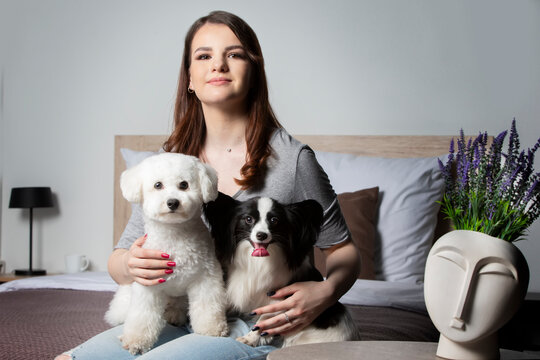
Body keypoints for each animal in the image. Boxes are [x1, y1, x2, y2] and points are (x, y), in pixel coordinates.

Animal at [105, 152, 228, 354]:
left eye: (184, 184)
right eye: (158, 185)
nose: (172, 202)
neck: (175, 234)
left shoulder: (206, 278)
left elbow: (207, 306)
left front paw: (211, 328)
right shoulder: (147, 286)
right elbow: (142, 316)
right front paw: (136, 340)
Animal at [205, 194, 360, 348]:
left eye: (274, 220)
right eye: (248, 219)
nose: (261, 235)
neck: (259, 261)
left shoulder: (279, 299)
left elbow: (263, 319)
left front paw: (250, 339)